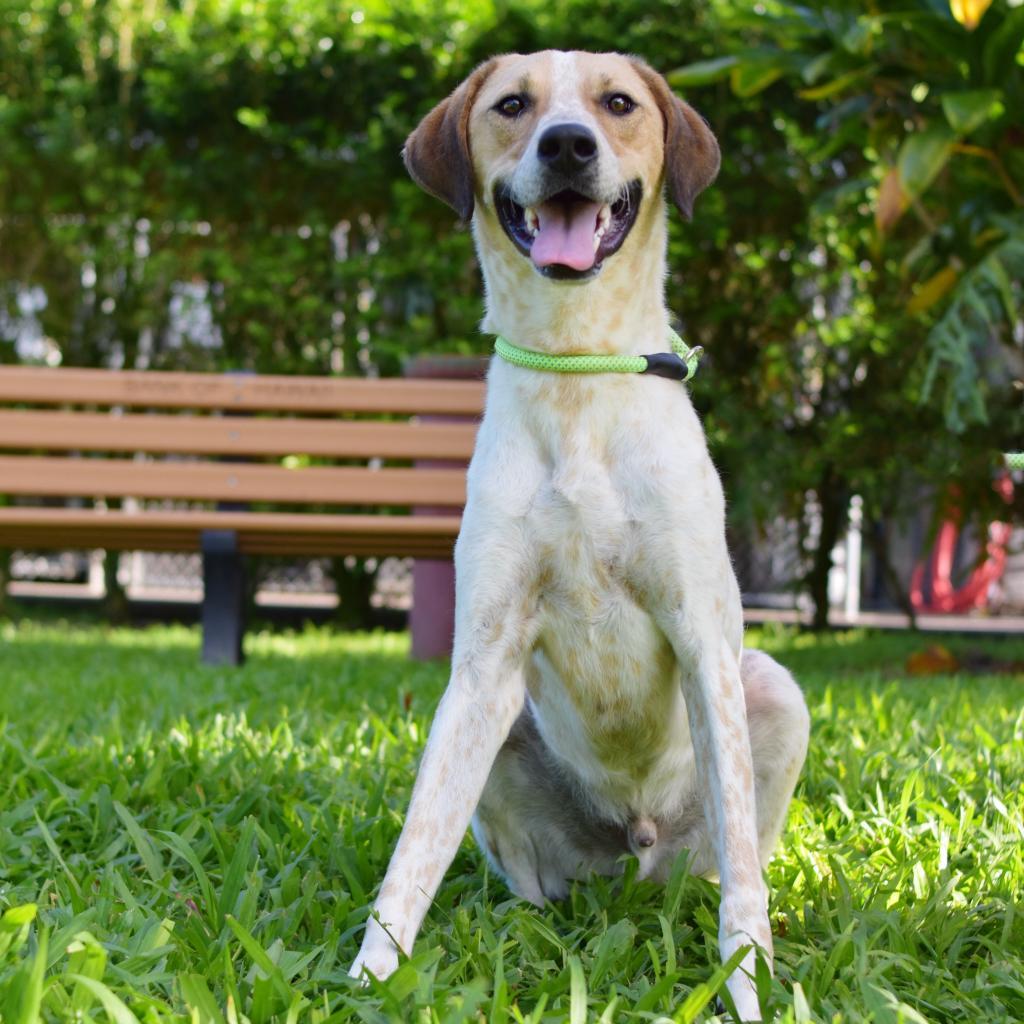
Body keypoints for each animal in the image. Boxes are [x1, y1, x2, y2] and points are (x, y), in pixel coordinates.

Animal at [348, 51, 811, 1019]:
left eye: (619, 103)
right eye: (512, 105)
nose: (567, 144)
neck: (577, 365)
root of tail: (631, 851)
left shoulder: (705, 641)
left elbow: (746, 887)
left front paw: (746, 982)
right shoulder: (482, 663)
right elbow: (414, 850)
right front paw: (370, 976)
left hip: (771, 691)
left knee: (727, 860)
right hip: (499, 735)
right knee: (529, 884)